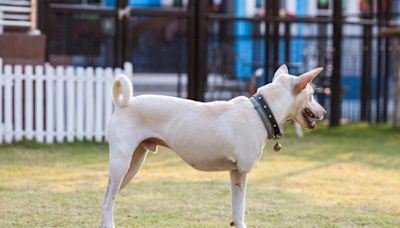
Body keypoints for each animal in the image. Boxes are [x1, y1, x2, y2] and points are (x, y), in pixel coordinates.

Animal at [100, 65, 324, 227]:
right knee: (108, 201)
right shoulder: (243, 172)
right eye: (312, 95)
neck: (261, 111)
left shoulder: (235, 173)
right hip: (121, 164)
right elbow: (240, 207)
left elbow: (237, 211)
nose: (324, 113)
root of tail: (123, 104)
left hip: (133, 165)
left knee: (107, 199)